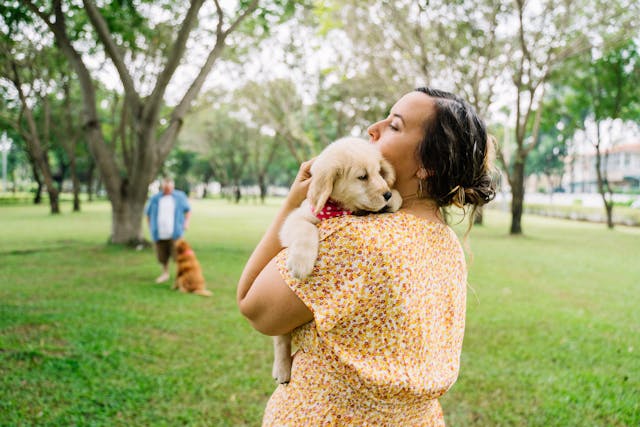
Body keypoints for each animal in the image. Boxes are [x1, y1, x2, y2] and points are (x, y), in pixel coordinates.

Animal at [272, 137, 402, 384]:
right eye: (362, 176)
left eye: (378, 172)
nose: (387, 194)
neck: (340, 209)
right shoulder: (296, 218)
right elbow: (305, 230)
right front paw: (301, 263)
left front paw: (396, 199)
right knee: (281, 340)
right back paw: (282, 370)